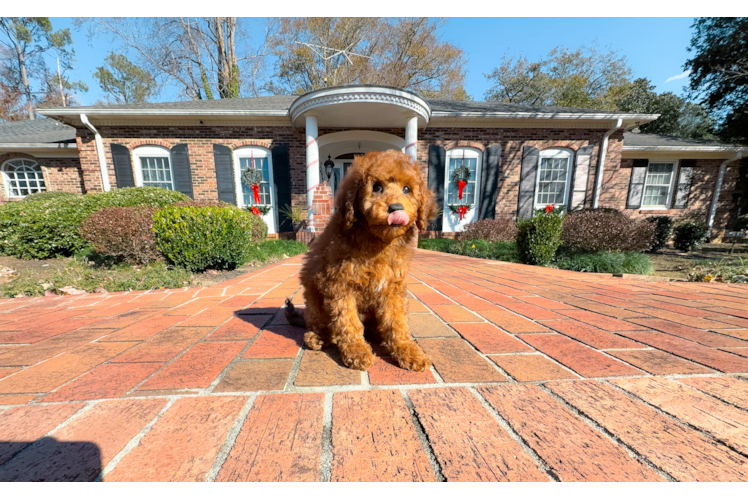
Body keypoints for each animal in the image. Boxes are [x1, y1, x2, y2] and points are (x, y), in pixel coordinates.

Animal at [286, 148, 438, 372]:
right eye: (377, 187)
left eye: (407, 189)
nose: (396, 208)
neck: (378, 240)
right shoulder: (339, 285)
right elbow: (348, 321)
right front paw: (356, 351)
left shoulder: (393, 287)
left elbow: (397, 321)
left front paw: (408, 350)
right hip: (313, 298)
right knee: (318, 322)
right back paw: (317, 336)